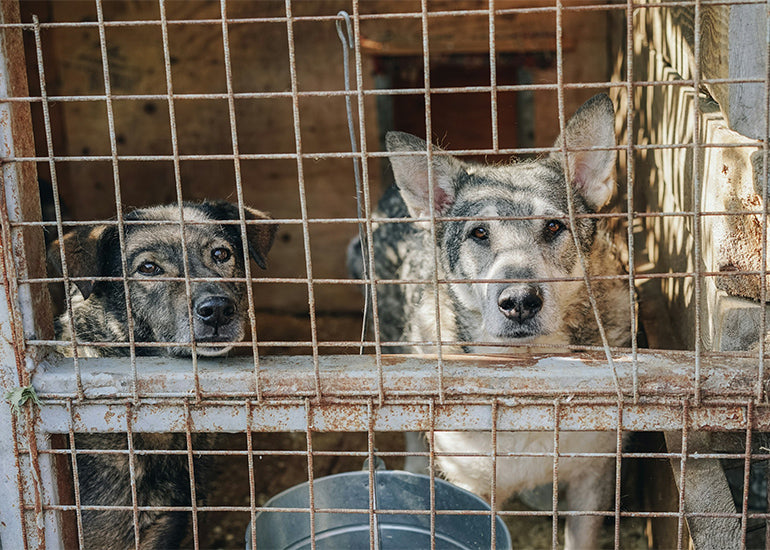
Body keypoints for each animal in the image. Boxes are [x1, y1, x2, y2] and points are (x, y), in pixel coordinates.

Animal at [350, 95, 632, 550]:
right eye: (479, 233)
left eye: (554, 226)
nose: (519, 301)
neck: (525, 373)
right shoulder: (472, 491)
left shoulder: (594, 477)